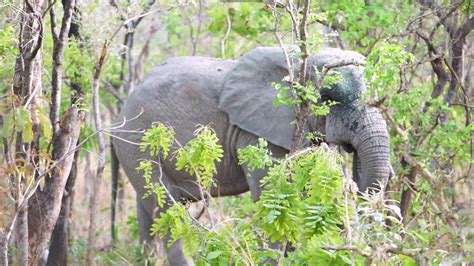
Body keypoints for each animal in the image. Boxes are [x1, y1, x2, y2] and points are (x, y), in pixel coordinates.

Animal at [112, 46, 392, 264]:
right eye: (327, 97)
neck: (298, 61)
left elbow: (331, 186)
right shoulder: (256, 132)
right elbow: (272, 195)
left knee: (149, 211)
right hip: (138, 143)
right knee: (169, 211)